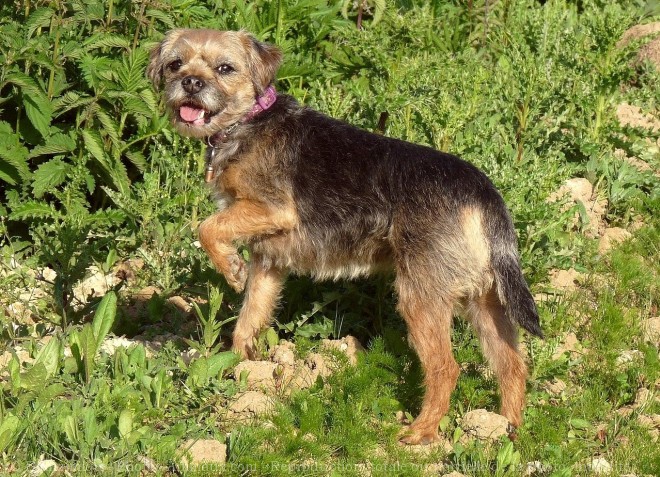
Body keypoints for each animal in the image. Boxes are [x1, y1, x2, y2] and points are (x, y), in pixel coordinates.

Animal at [148, 29, 540, 444]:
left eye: (225, 68)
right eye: (175, 64)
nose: (191, 82)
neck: (248, 122)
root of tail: (483, 193)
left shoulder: (272, 209)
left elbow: (207, 227)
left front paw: (230, 269)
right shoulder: (268, 261)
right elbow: (249, 319)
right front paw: (239, 370)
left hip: (421, 299)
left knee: (446, 368)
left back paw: (420, 432)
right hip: (486, 301)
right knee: (512, 364)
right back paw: (508, 428)